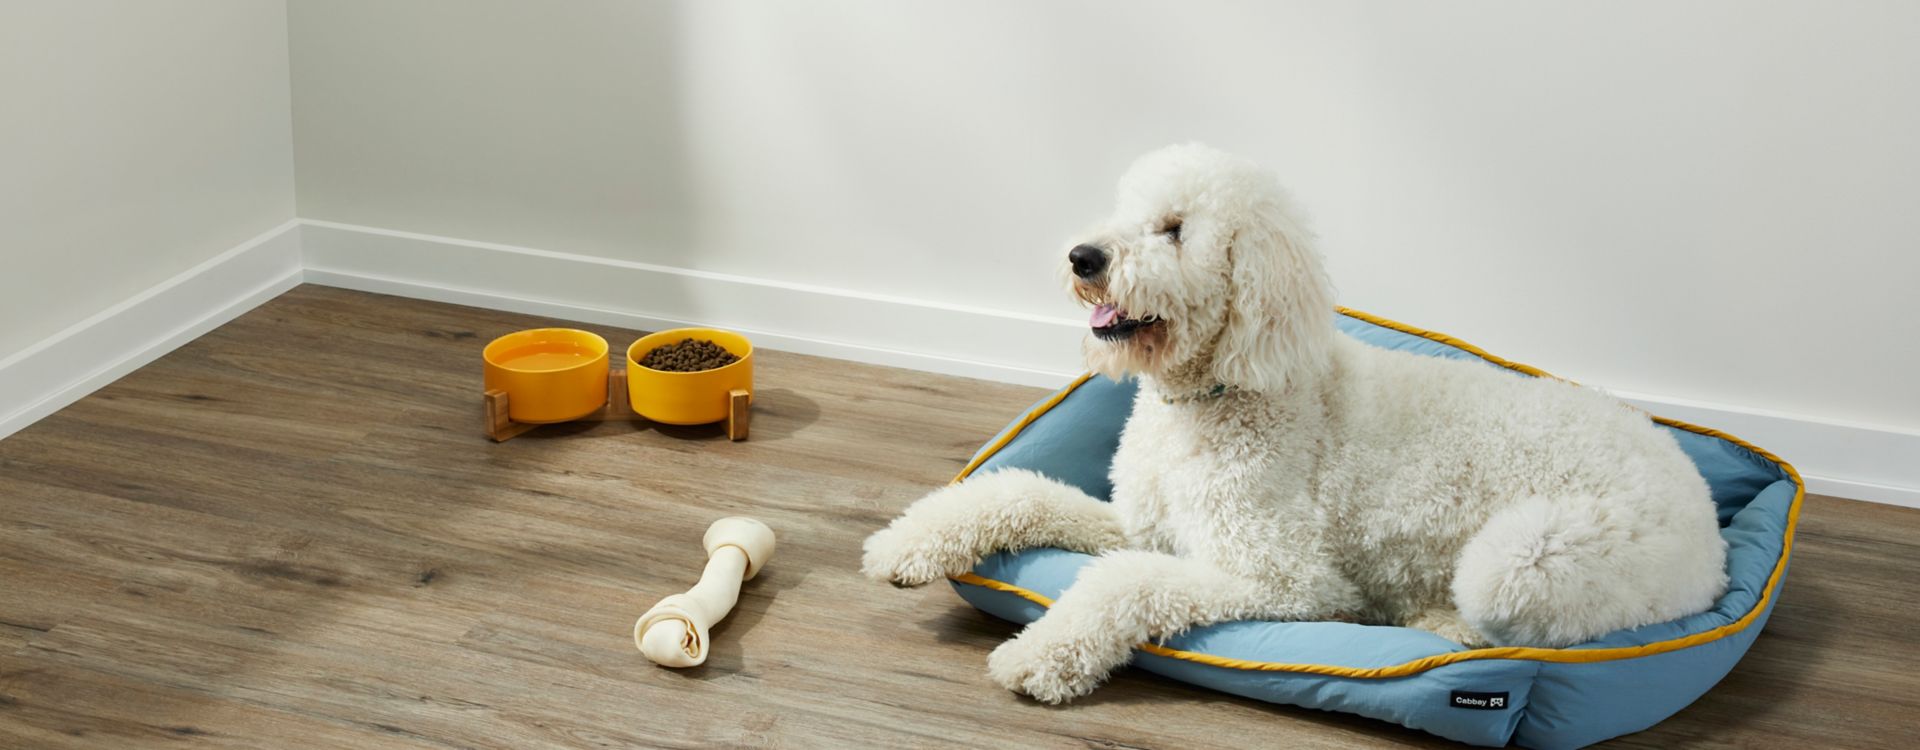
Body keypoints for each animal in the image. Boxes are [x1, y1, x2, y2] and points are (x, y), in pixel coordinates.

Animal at [860, 142, 1728, 705]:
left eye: (1175, 229)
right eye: (1124, 213)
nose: (1083, 257)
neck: (1216, 395)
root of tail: (1710, 526)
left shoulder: (1285, 577)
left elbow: (1124, 581)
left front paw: (1041, 654)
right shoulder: (1144, 523)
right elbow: (1019, 491)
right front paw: (907, 544)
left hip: (1525, 557)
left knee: (1535, 624)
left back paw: (1443, 626)